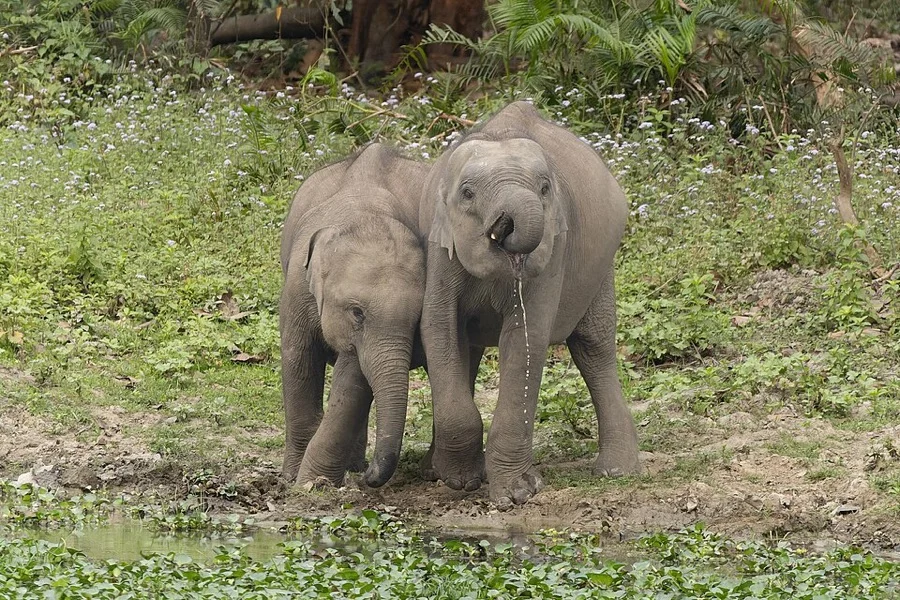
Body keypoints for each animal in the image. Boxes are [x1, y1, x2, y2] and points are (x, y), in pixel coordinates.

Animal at [279, 142, 427, 489]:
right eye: (357, 313)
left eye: (417, 322)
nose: (370, 478)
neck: (365, 214)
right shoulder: (297, 286)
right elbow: (298, 359)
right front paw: (295, 480)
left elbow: (353, 379)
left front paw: (314, 482)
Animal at [418, 101, 641, 507]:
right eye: (467, 194)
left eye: (545, 189)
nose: (504, 225)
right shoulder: (439, 246)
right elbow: (439, 328)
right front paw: (459, 480)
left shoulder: (555, 247)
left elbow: (524, 337)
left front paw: (518, 493)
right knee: (467, 350)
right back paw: (434, 470)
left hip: (601, 266)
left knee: (593, 347)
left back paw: (618, 470)